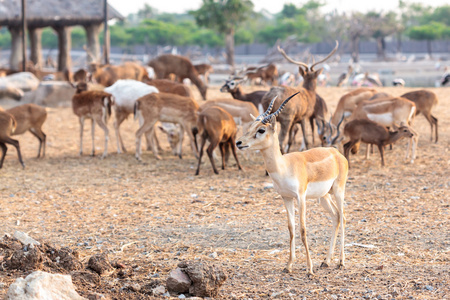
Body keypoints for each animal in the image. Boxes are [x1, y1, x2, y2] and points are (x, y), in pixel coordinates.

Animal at [236, 92, 348, 276]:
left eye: (261, 130)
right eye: (251, 126)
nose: (239, 142)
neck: (284, 167)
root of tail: (336, 152)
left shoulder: (300, 197)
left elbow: (302, 230)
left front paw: (309, 269)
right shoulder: (286, 197)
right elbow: (291, 229)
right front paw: (288, 265)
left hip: (339, 191)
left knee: (343, 217)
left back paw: (341, 262)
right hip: (324, 197)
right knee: (336, 216)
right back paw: (326, 261)